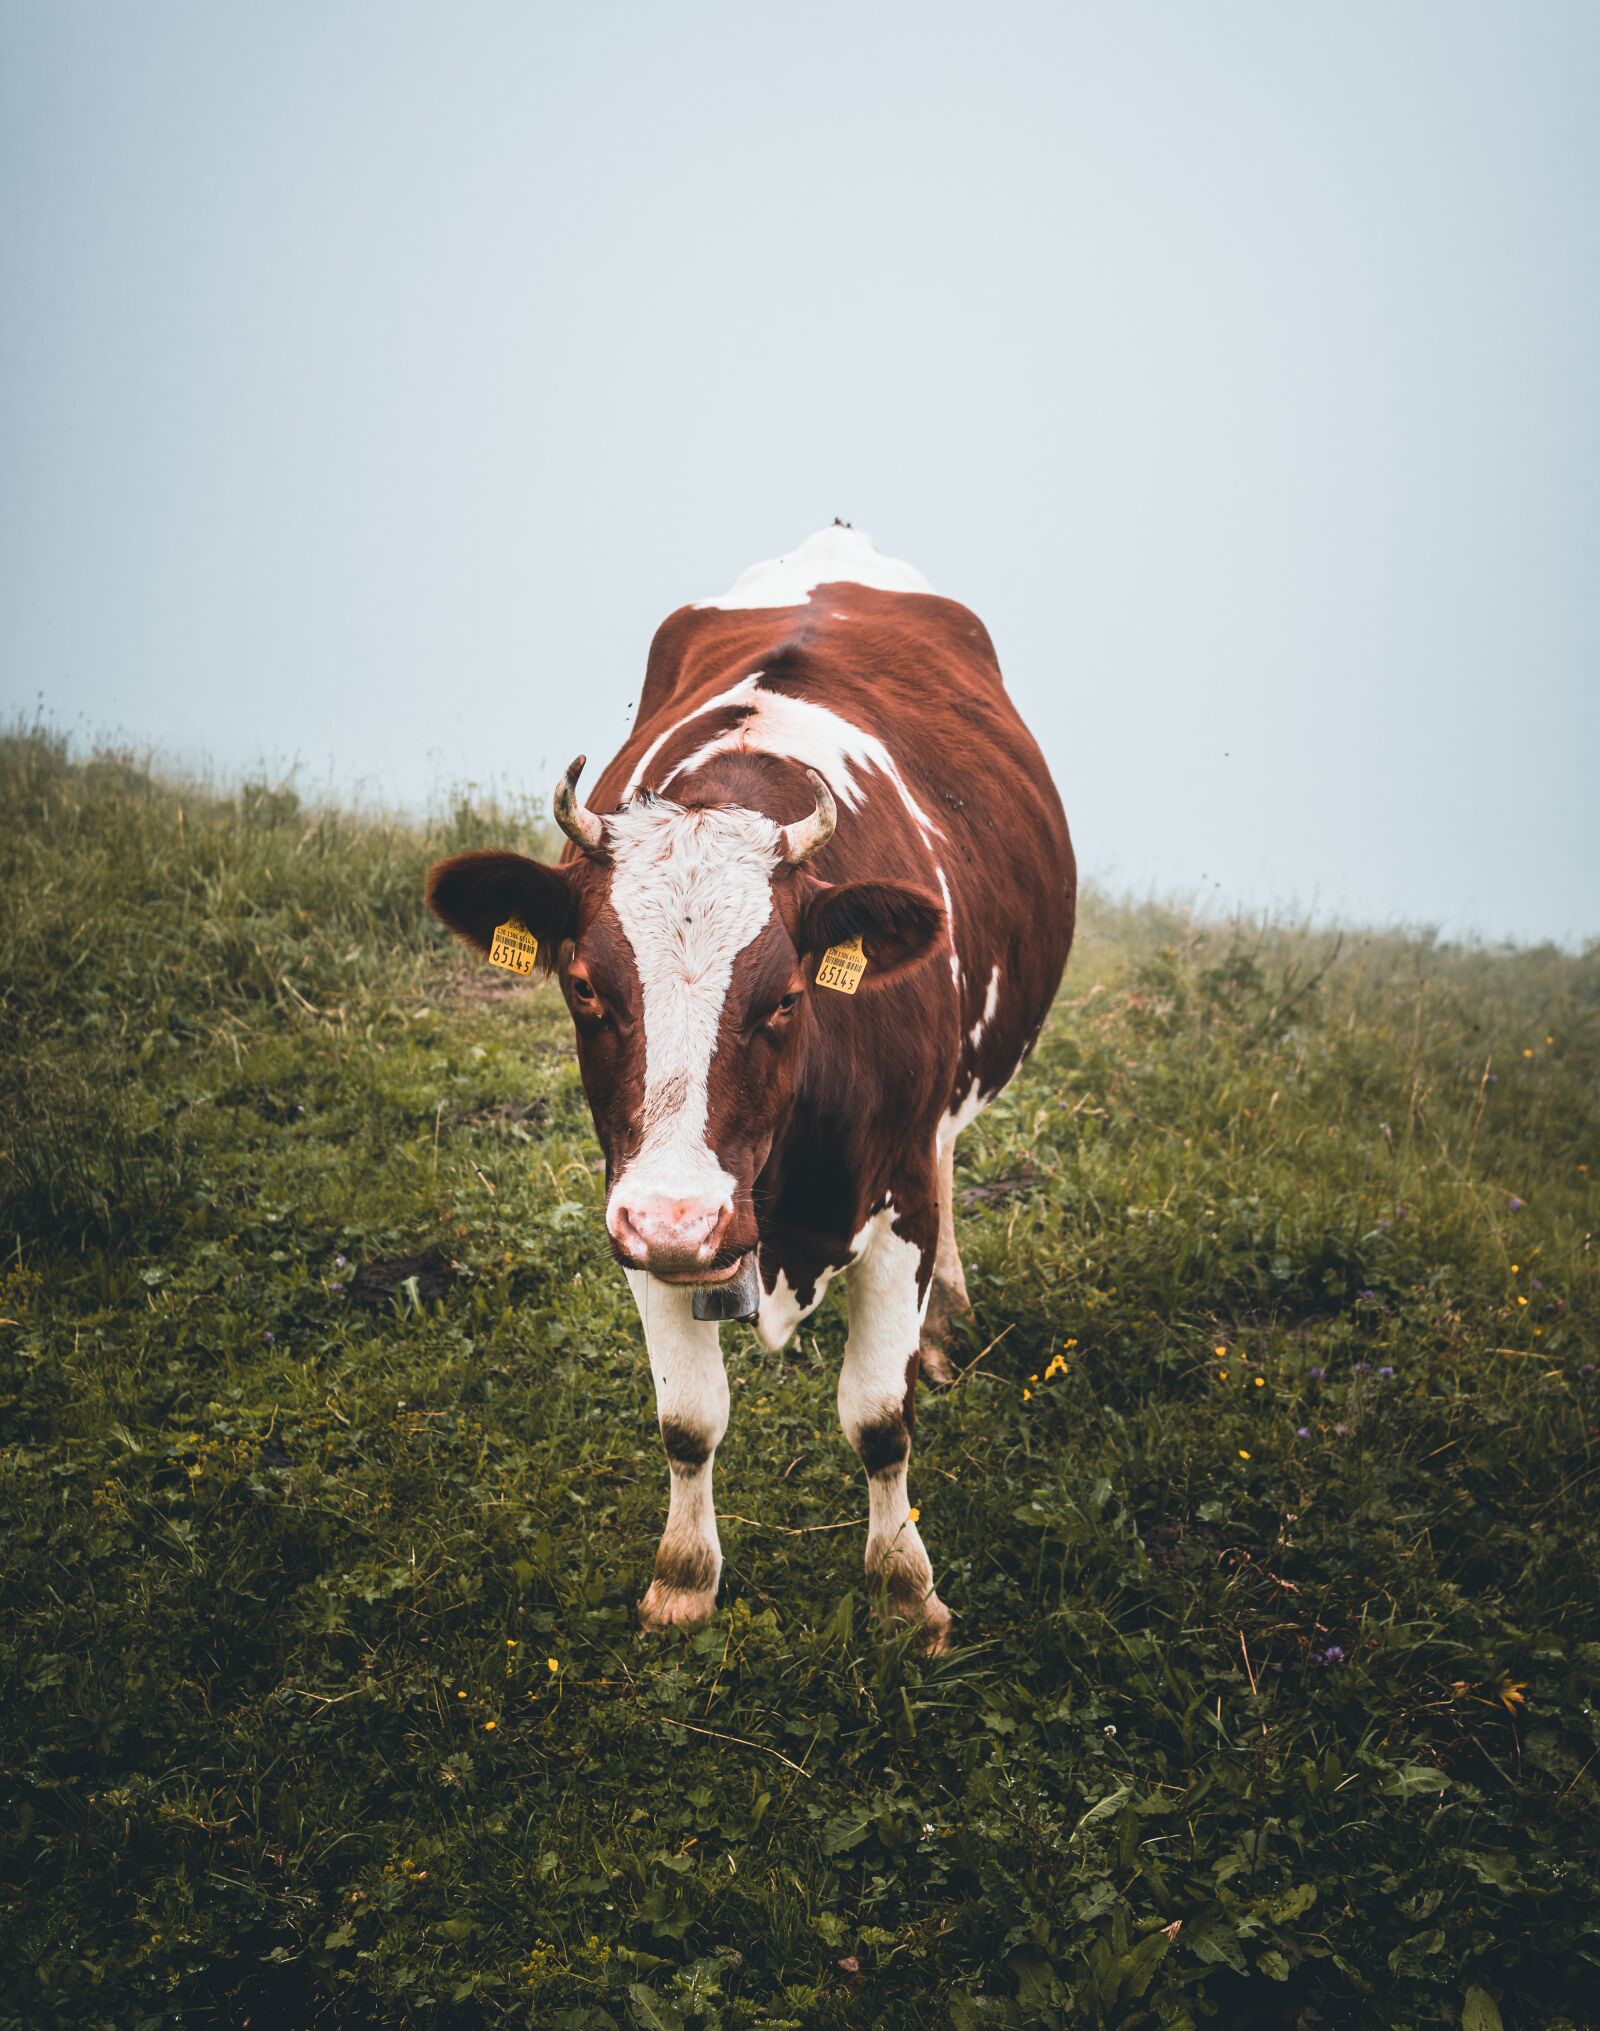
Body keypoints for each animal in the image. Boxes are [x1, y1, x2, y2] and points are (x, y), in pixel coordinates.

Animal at [424, 528, 1072, 1649]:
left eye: (785, 998)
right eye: (583, 984)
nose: (685, 1219)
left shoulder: (894, 1194)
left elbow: (878, 1418)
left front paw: (906, 1593)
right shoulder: (637, 1200)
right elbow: (688, 1420)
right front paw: (683, 1580)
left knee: (951, 1155)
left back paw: (945, 1322)